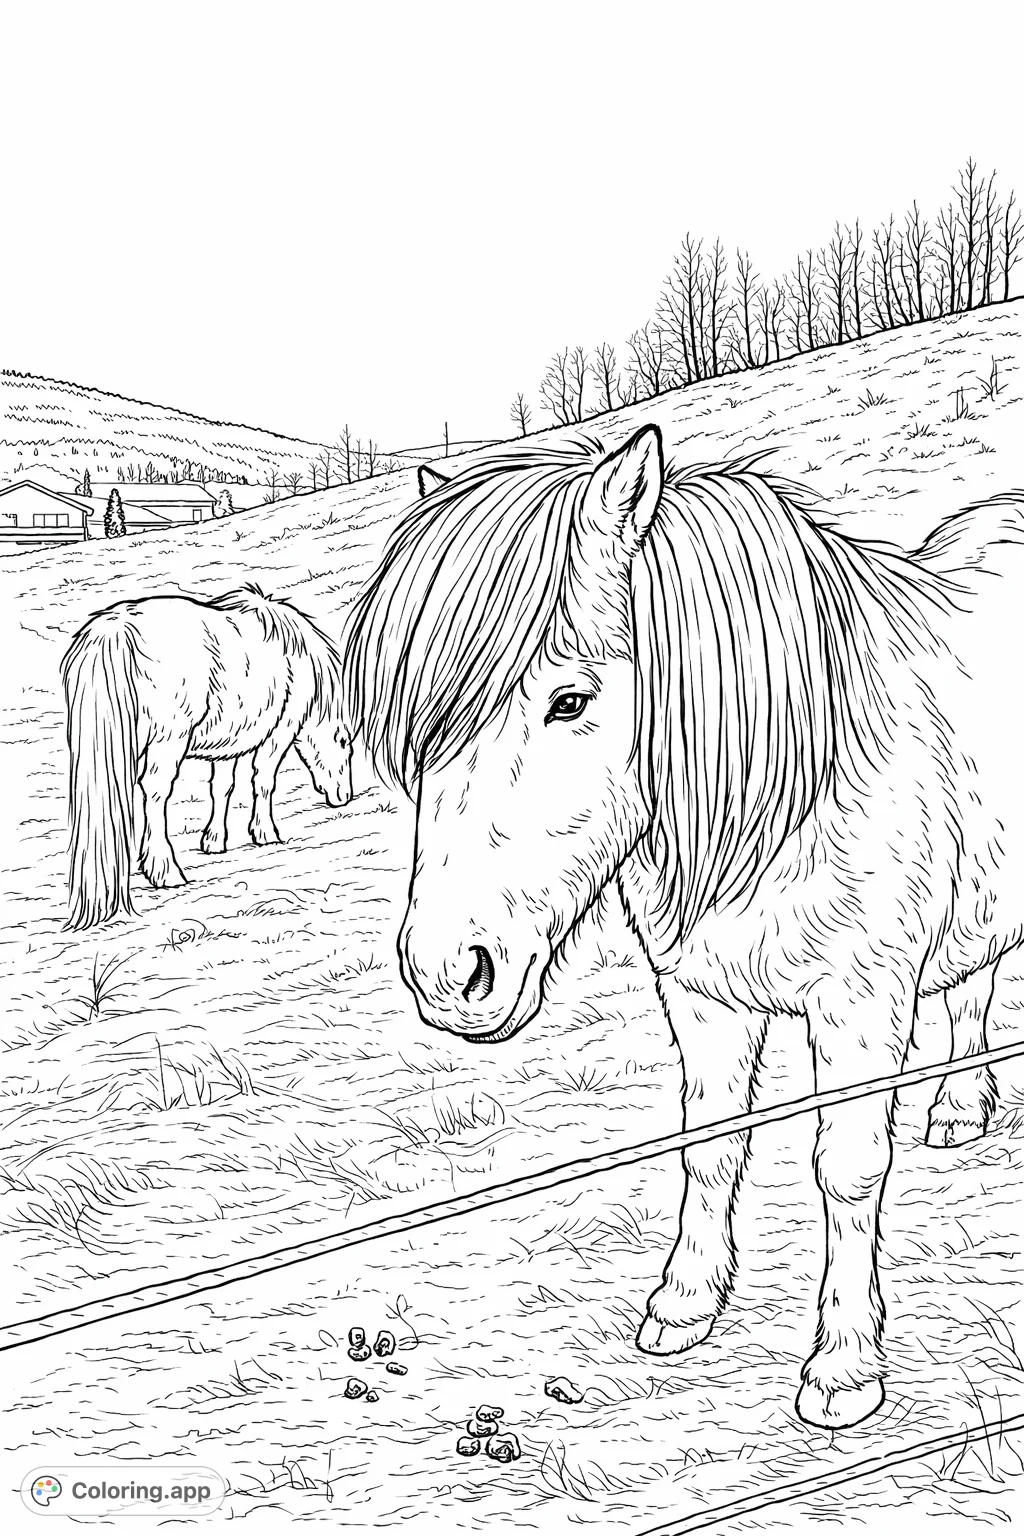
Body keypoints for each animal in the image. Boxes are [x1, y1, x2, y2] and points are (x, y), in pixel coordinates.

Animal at [61, 584, 352, 930]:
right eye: (344, 741)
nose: (344, 796)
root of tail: (117, 628)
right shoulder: (279, 733)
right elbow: (264, 781)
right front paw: (266, 833)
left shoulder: (227, 743)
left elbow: (221, 788)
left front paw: (214, 840)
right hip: (168, 739)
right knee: (156, 792)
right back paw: (165, 870)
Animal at [341, 423, 1024, 1430]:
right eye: (427, 731)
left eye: (570, 702)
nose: (448, 974)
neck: (788, 785)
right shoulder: (703, 998)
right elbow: (709, 1145)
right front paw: (686, 1303)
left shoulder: (860, 1003)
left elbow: (846, 1167)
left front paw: (844, 1366)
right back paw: (959, 1109)